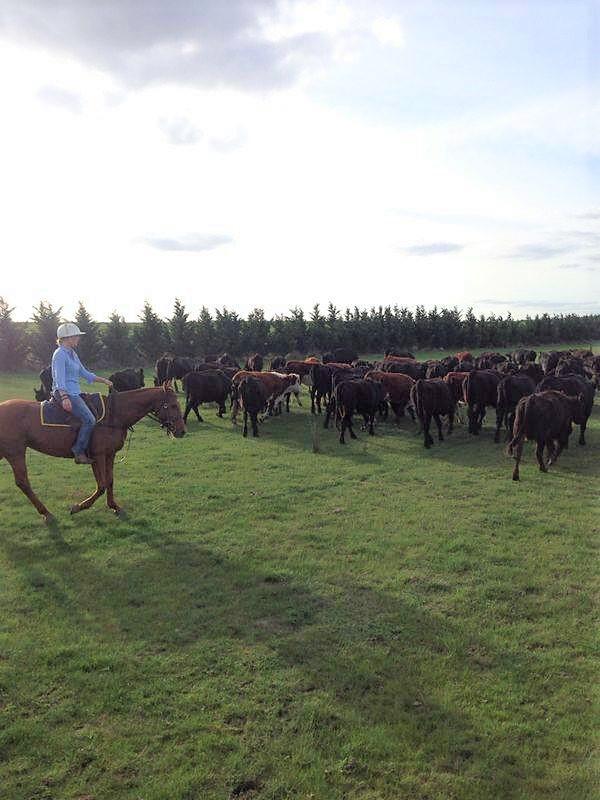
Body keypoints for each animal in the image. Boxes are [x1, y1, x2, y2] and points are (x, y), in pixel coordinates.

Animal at [0, 382, 185, 524]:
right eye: (173, 405)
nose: (182, 431)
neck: (113, 415)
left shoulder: (109, 454)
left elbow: (109, 481)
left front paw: (113, 506)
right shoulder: (98, 456)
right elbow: (101, 485)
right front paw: (78, 507)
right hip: (15, 452)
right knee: (23, 482)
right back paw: (46, 512)